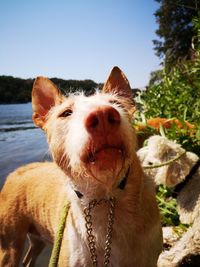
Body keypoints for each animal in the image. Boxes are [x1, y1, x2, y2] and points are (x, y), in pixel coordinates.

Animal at [0, 66, 162, 266]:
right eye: (66, 113)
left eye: (116, 103)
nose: (102, 115)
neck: (103, 197)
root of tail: (15, 172)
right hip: (10, 245)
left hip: (37, 239)